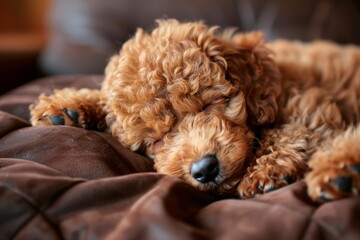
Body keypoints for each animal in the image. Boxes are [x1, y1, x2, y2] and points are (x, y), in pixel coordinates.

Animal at [28, 19, 360, 202]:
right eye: (155, 140)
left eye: (207, 106)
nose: (204, 169)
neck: (274, 80)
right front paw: (67, 106)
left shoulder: (311, 109)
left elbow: (291, 132)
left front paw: (265, 171)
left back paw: (340, 171)